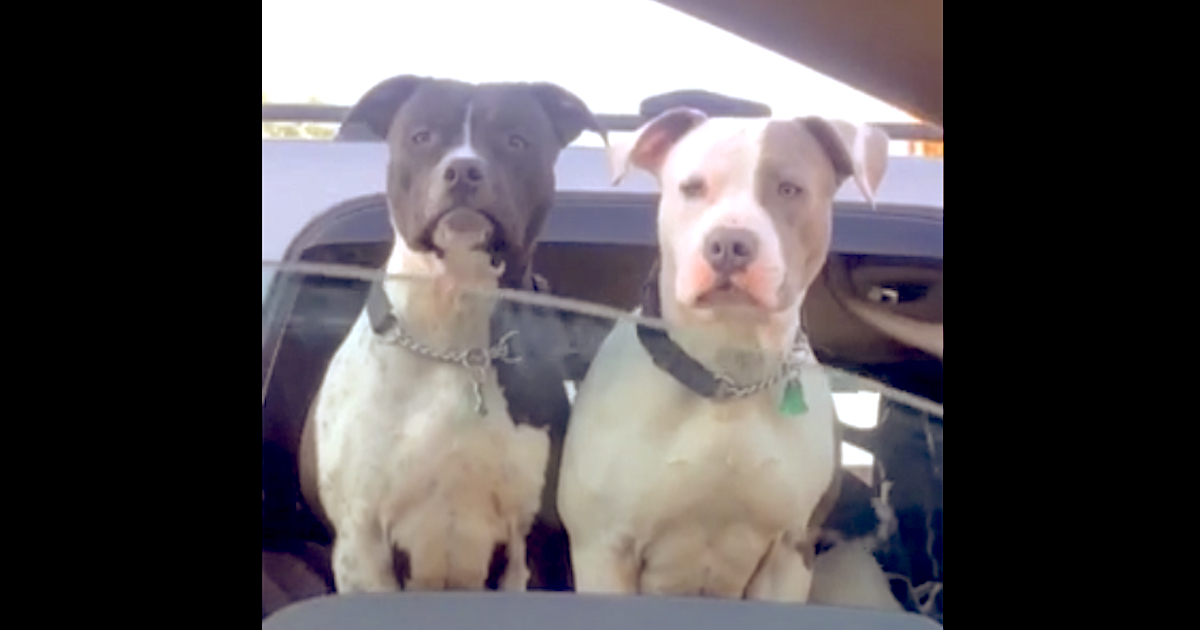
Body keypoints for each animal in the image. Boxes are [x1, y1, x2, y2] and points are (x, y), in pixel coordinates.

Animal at [556, 106, 888, 600]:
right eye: (692, 188)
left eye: (788, 188)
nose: (729, 244)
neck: (731, 371)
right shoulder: (603, 548)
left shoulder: (789, 553)